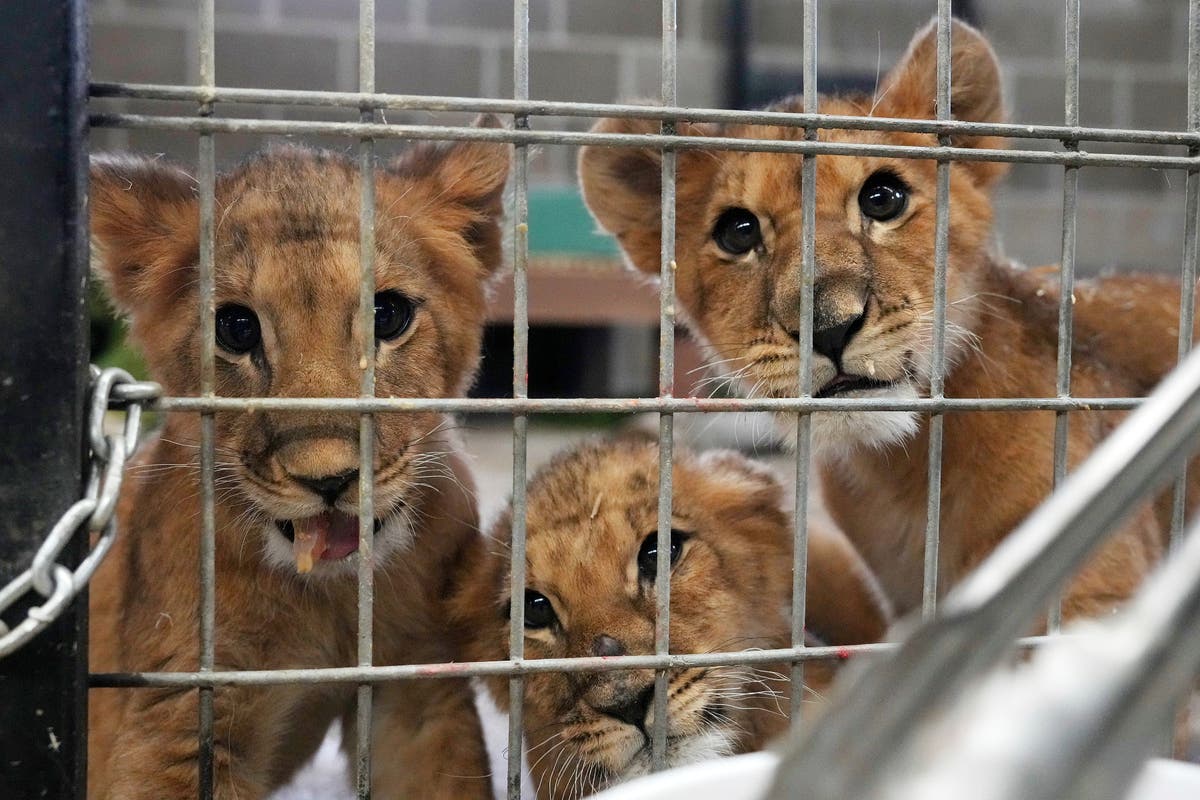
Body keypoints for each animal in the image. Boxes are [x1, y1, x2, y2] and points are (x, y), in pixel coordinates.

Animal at [87, 119, 508, 799]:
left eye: (388, 315)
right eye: (236, 328)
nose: (329, 479)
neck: (330, 598)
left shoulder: (416, 689)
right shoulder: (177, 723)